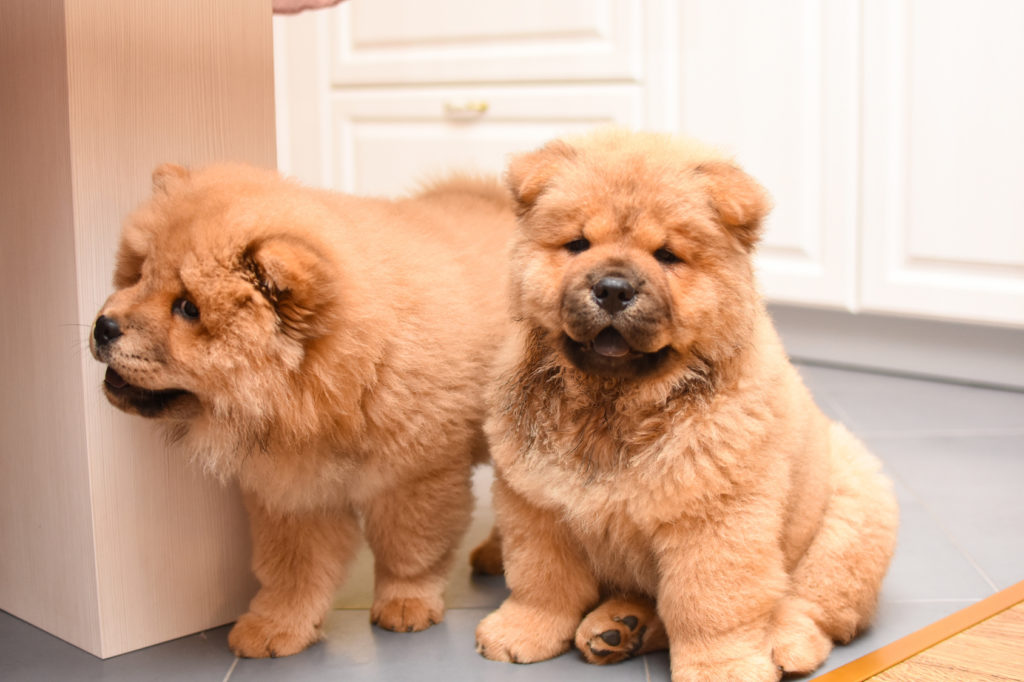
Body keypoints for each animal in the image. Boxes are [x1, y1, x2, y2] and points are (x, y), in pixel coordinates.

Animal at [90, 161, 512, 655]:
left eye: (188, 307)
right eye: (138, 274)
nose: (102, 326)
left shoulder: (415, 476)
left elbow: (409, 549)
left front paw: (405, 605)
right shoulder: (294, 491)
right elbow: (294, 569)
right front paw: (276, 627)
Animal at [471, 129, 897, 679]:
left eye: (667, 255)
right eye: (578, 245)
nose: (612, 288)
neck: (613, 406)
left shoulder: (715, 519)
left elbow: (706, 604)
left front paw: (723, 668)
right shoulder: (536, 503)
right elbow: (541, 580)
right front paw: (521, 632)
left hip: (851, 513)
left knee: (814, 601)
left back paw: (786, 643)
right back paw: (617, 629)